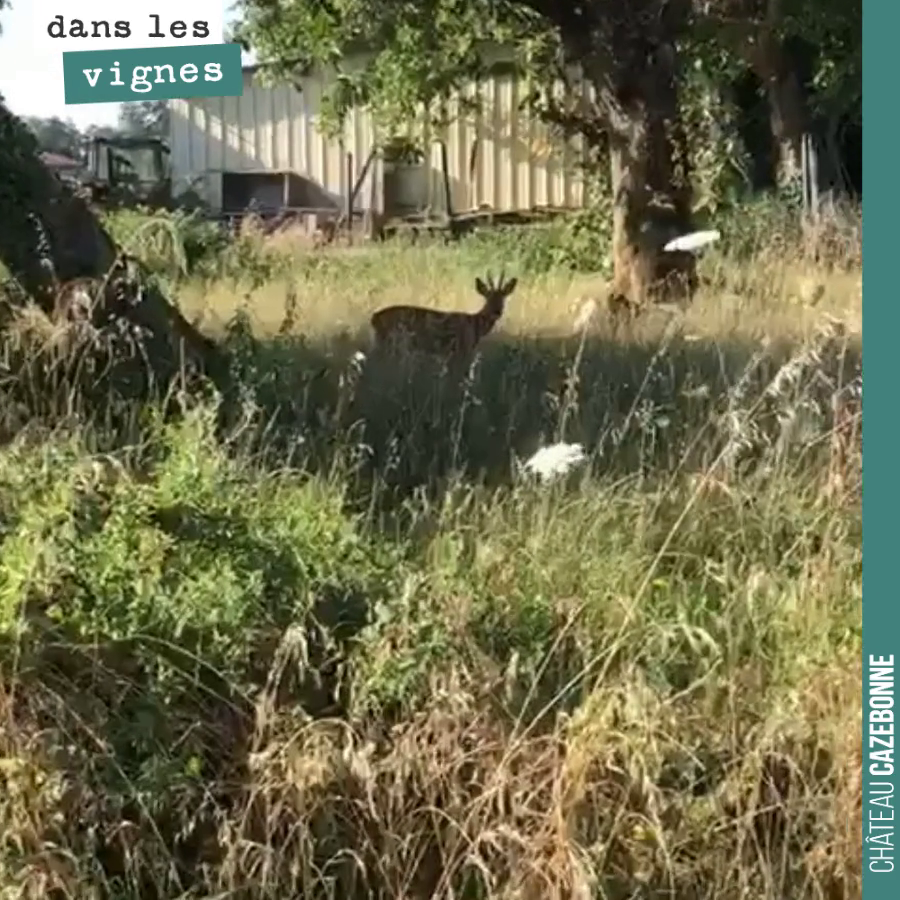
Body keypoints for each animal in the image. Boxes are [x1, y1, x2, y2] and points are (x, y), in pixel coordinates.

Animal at [370, 270, 516, 358]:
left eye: (503, 298)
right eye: (488, 298)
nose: (497, 311)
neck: (475, 325)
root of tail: (374, 318)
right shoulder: (461, 351)